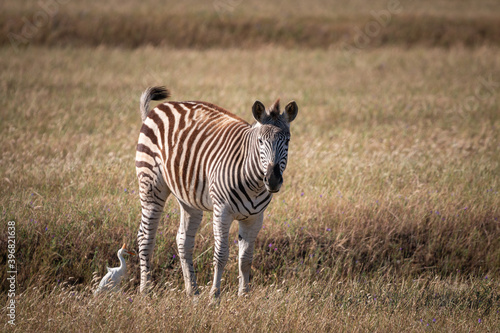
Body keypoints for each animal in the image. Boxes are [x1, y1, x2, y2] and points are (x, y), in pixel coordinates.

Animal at [135, 85, 296, 296]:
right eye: (260, 141)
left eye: (287, 141)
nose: (273, 180)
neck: (254, 183)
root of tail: (159, 108)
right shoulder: (222, 212)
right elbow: (221, 255)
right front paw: (214, 296)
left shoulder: (255, 218)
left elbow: (246, 259)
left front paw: (244, 296)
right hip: (150, 186)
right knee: (145, 237)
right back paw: (145, 290)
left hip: (188, 197)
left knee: (183, 240)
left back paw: (193, 292)